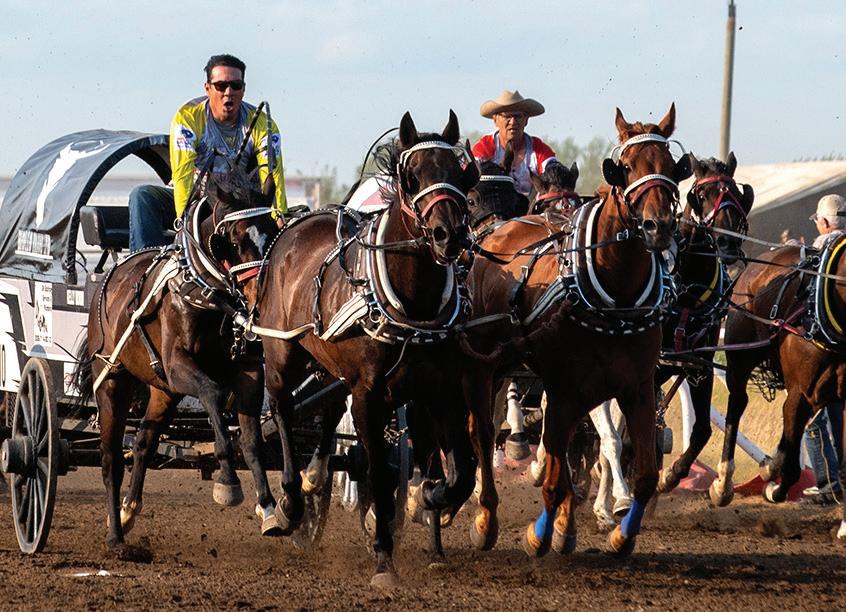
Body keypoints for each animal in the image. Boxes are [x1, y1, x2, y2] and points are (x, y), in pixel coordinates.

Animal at [75, 166, 280, 552]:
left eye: (272, 231)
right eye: (232, 238)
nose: (259, 297)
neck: (207, 295)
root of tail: (108, 278)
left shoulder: (248, 372)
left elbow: (252, 442)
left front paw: (270, 509)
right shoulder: (178, 366)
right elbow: (214, 394)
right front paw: (227, 483)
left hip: (163, 391)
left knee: (143, 442)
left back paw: (129, 509)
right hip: (112, 382)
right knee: (110, 460)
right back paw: (115, 535)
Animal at [253, 111, 480, 588]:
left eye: (459, 174)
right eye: (411, 177)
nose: (448, 235)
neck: (413, 306)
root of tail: (295, 225)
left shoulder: (441, 391)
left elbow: (461, 473)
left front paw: (427, 496)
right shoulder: (369, 396)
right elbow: (376, 471)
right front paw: (383, 557)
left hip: (329, 363)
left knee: (325, 409)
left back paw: (314, 477)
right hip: (281, 352)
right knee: (282, 411)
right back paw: (289, 503)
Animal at [460, 104, 691, 558]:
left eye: (671, 166)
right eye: (625, 166)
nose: (658, 227)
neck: (616, 296)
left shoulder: (636, 387)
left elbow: (640, 472)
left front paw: (617, 531)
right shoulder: (565, 386)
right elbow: (554, 472)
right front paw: (539, 533)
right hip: (484, 368)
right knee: (482, 434)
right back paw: (481, 515)